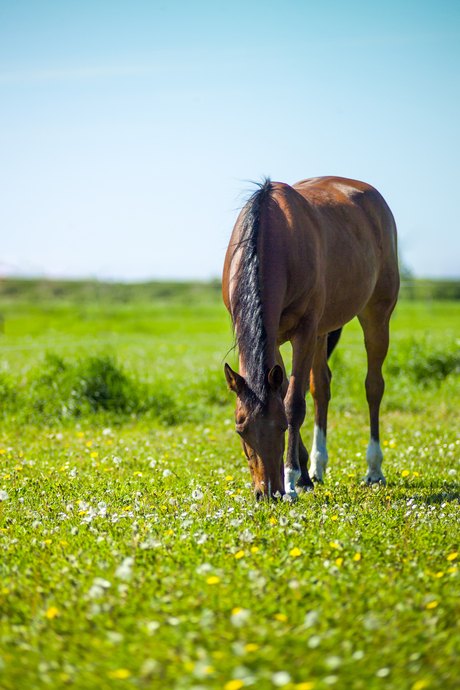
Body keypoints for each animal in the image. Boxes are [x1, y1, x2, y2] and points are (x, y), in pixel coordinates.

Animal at [223, 176, 398, 500]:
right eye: (241, 430)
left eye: (281, 427)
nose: (268, 493)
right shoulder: (276, 338)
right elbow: (288, 392)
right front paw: (304, 475)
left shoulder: (303, 331)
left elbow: (293, 403)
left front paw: (292, 479)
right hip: (321, 331)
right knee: (321, 388)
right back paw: (318, 466)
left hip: (376, 314)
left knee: (373, 387)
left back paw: (374, 468)